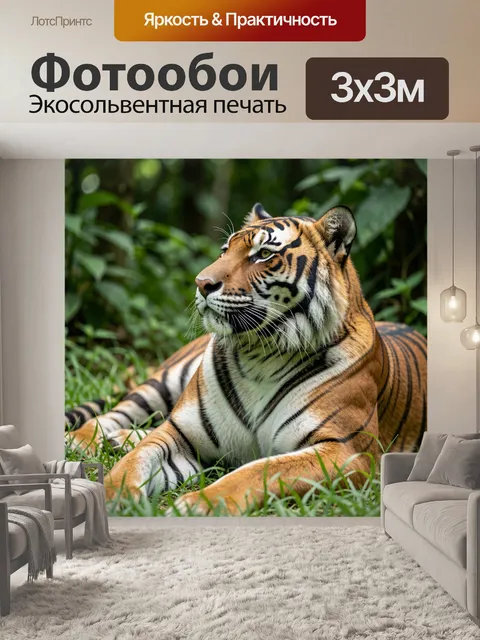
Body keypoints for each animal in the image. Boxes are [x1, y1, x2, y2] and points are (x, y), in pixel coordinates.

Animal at [66, 203, 427, 515]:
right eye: (225, 250)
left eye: (264, 254)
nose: (201, 283)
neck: (261, 355)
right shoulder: (180, 432)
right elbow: (136, 461)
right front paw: (109, 494)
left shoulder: (346, 450)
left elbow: (260, 470)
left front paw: (198, 505)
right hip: (164, 381)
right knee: (121, 411)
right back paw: (86, 440)